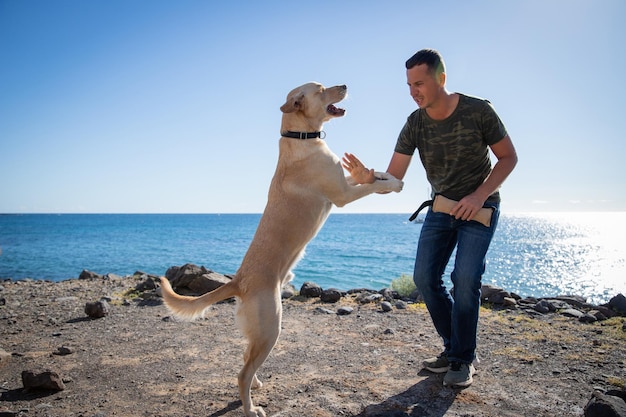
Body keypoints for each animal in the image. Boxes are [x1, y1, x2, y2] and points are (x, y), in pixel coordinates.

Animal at [161, 82, 402, 416]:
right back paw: (251, 408)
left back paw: (256, 385)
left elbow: (372, 176)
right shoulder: (341, 193)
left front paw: (386, 175)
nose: (344, 85)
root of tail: (238, 281)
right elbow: (372, 186)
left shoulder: (343, 180)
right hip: (271, 327)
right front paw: (394, 184)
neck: (300, 138)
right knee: (242, 372)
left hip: (259, 332)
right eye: (321, 88)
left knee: (246, 360)